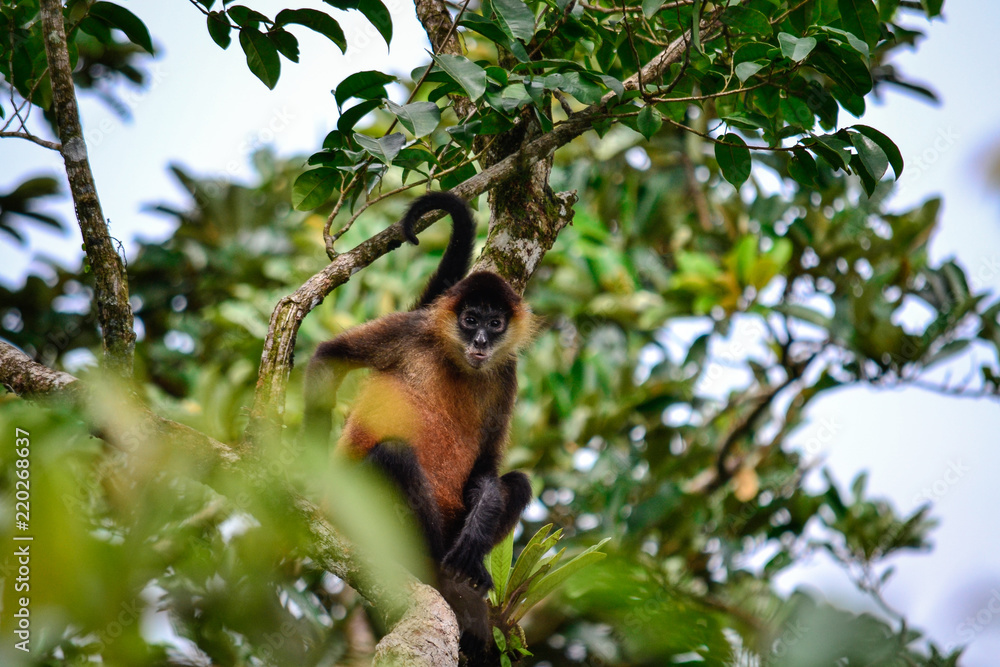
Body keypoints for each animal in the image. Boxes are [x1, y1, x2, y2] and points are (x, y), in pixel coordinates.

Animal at [302, 192, 535, 655]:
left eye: (495, 323)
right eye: (470, 319)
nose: (480, 341)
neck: (459, 361)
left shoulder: (506, 372)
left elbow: (487, 468)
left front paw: (478, 533)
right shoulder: (414, 329)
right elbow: (330, 357)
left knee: (517, 483)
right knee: (392, 455)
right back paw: (439, 578)